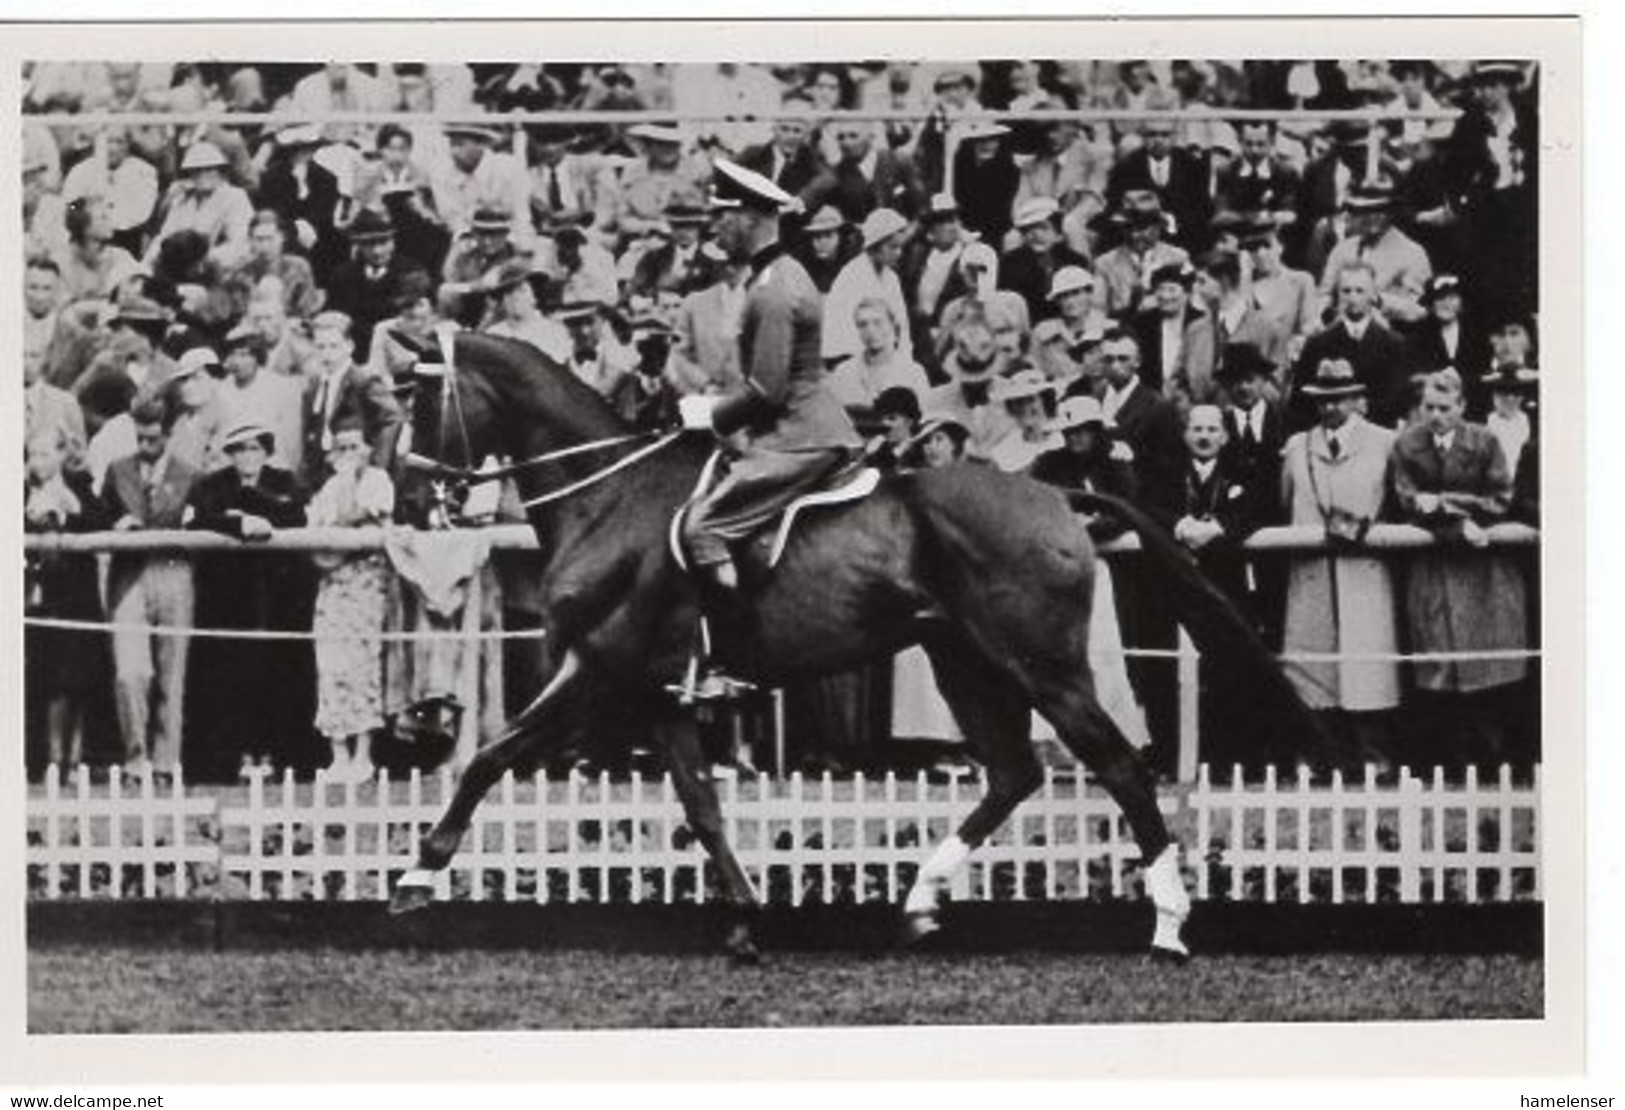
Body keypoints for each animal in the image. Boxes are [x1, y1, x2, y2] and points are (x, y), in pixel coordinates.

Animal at [386, 328, 1326, 962]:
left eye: (417, 399)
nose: (405, 495)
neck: (610, 496)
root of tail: (1057, 494)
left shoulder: (599, 671)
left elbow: (490, 757)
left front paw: (416, 878)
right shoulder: (659, 694)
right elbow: (700, 805)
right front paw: (745, 918)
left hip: (1043, 668)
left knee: (1120, 767)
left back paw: (1167, 922)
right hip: (964, 664)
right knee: (1011, 773)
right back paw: (920, 898)